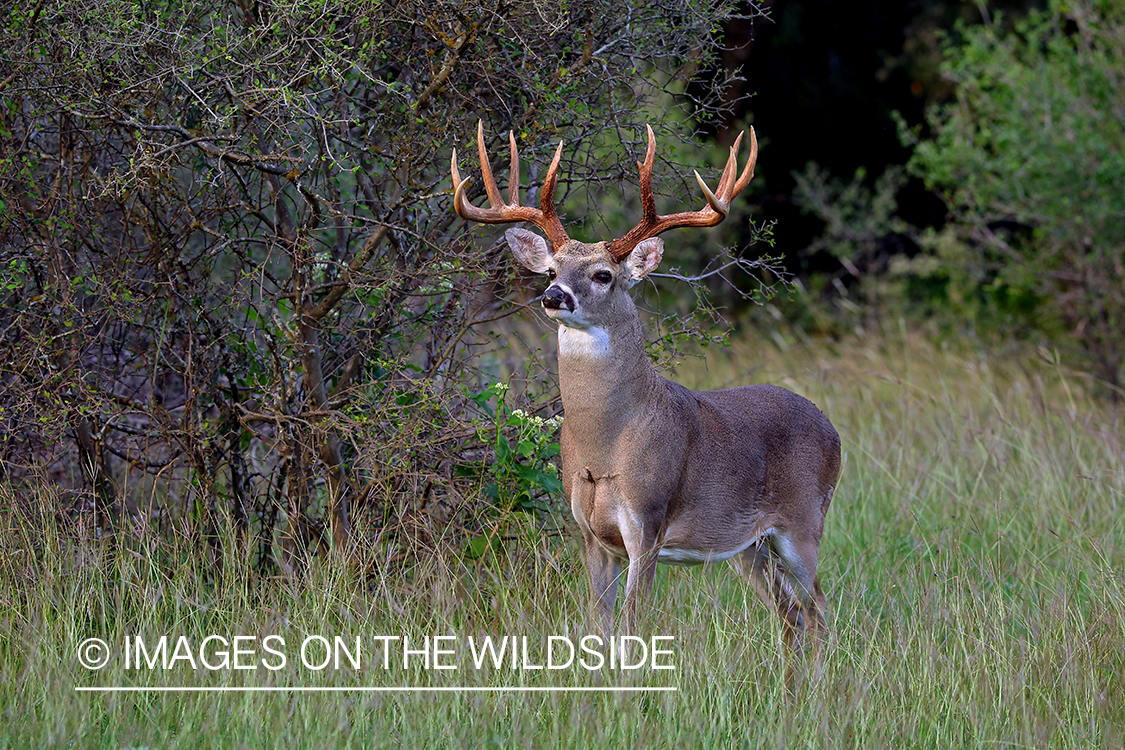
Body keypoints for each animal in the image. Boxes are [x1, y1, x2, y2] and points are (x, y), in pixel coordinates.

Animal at [452, 122, 841, 652]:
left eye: (603, 275)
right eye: (551, 269)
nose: (553, 295)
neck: (605, 445)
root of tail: (831, 427)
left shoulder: (649, 523)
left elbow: (632, 625)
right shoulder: (590, 533)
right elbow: (598, 626)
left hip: (804, 521)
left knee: (820, 609)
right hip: (749, 547)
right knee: (791, 615)